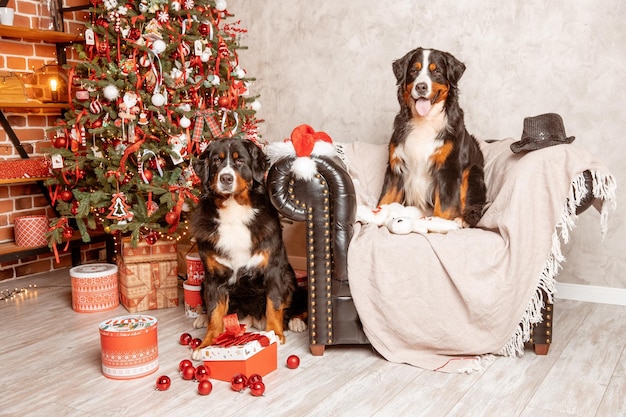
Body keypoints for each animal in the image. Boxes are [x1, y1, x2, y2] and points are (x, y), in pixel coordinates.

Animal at [190, 137, 308, 358]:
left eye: (240, 161)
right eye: (216, 161)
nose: (226, 178)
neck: (234, 212)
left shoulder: (273, 270)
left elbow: (274, 304)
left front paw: (275, 333)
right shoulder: (214, 277)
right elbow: (215, 314)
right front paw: (206, 344)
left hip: (290, 277)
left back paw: (296, 321)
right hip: (203, 282)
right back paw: (201, 318)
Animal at [378, 46, 486, 226]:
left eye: (436, 71)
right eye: (414, 70)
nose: (421, 87)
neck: (425, 121)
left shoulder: (448, 169)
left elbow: (444, 207)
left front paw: (438, 225)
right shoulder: (395, 167)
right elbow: (385, 199)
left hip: (473, 171)